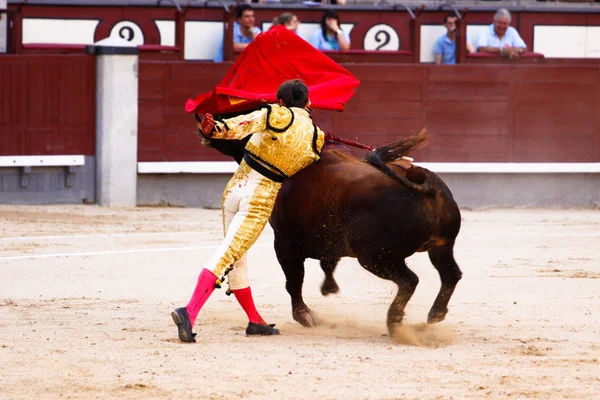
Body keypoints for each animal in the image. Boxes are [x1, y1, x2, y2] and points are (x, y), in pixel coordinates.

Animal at [199, 128, 462, 334]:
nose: (204, 125)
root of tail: (423, 179)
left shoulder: (284, 243)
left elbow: (294, 280)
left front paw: (304, 315)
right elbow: (328, 262)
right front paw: (329, 288)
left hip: (375, 257)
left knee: (410, 280)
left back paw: (394, 322)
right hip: (442, 246)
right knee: (451, 274)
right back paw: (435, 314)